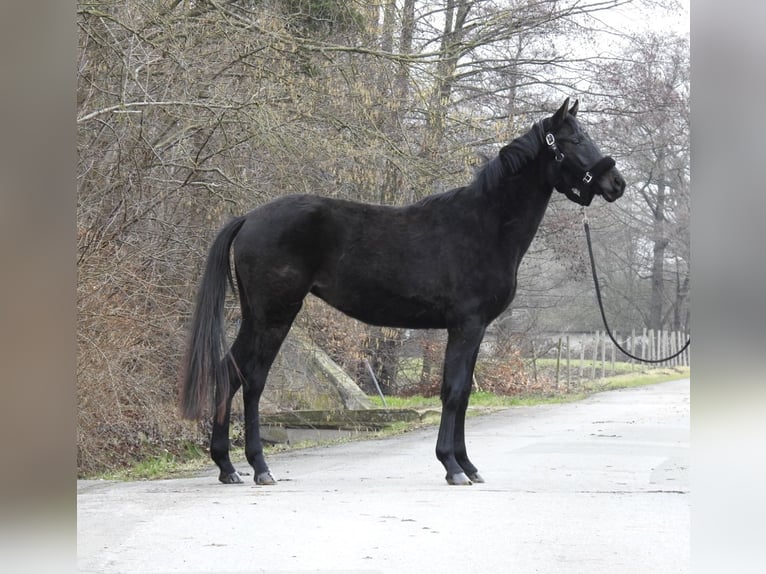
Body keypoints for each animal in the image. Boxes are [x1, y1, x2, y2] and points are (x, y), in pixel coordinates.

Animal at [180, 98, 625, 486]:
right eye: (573, 140)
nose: (616, 183)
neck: (484, 224)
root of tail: (249, 218)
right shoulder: (466, 325)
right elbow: (454, 391)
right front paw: (452, 466)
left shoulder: (475, 329)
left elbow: (463, 393)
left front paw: (467, 464)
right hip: (275, 315)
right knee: (253, 379)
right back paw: (260, 467)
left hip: (254, 316)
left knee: (228, 371)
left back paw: (227, 467)